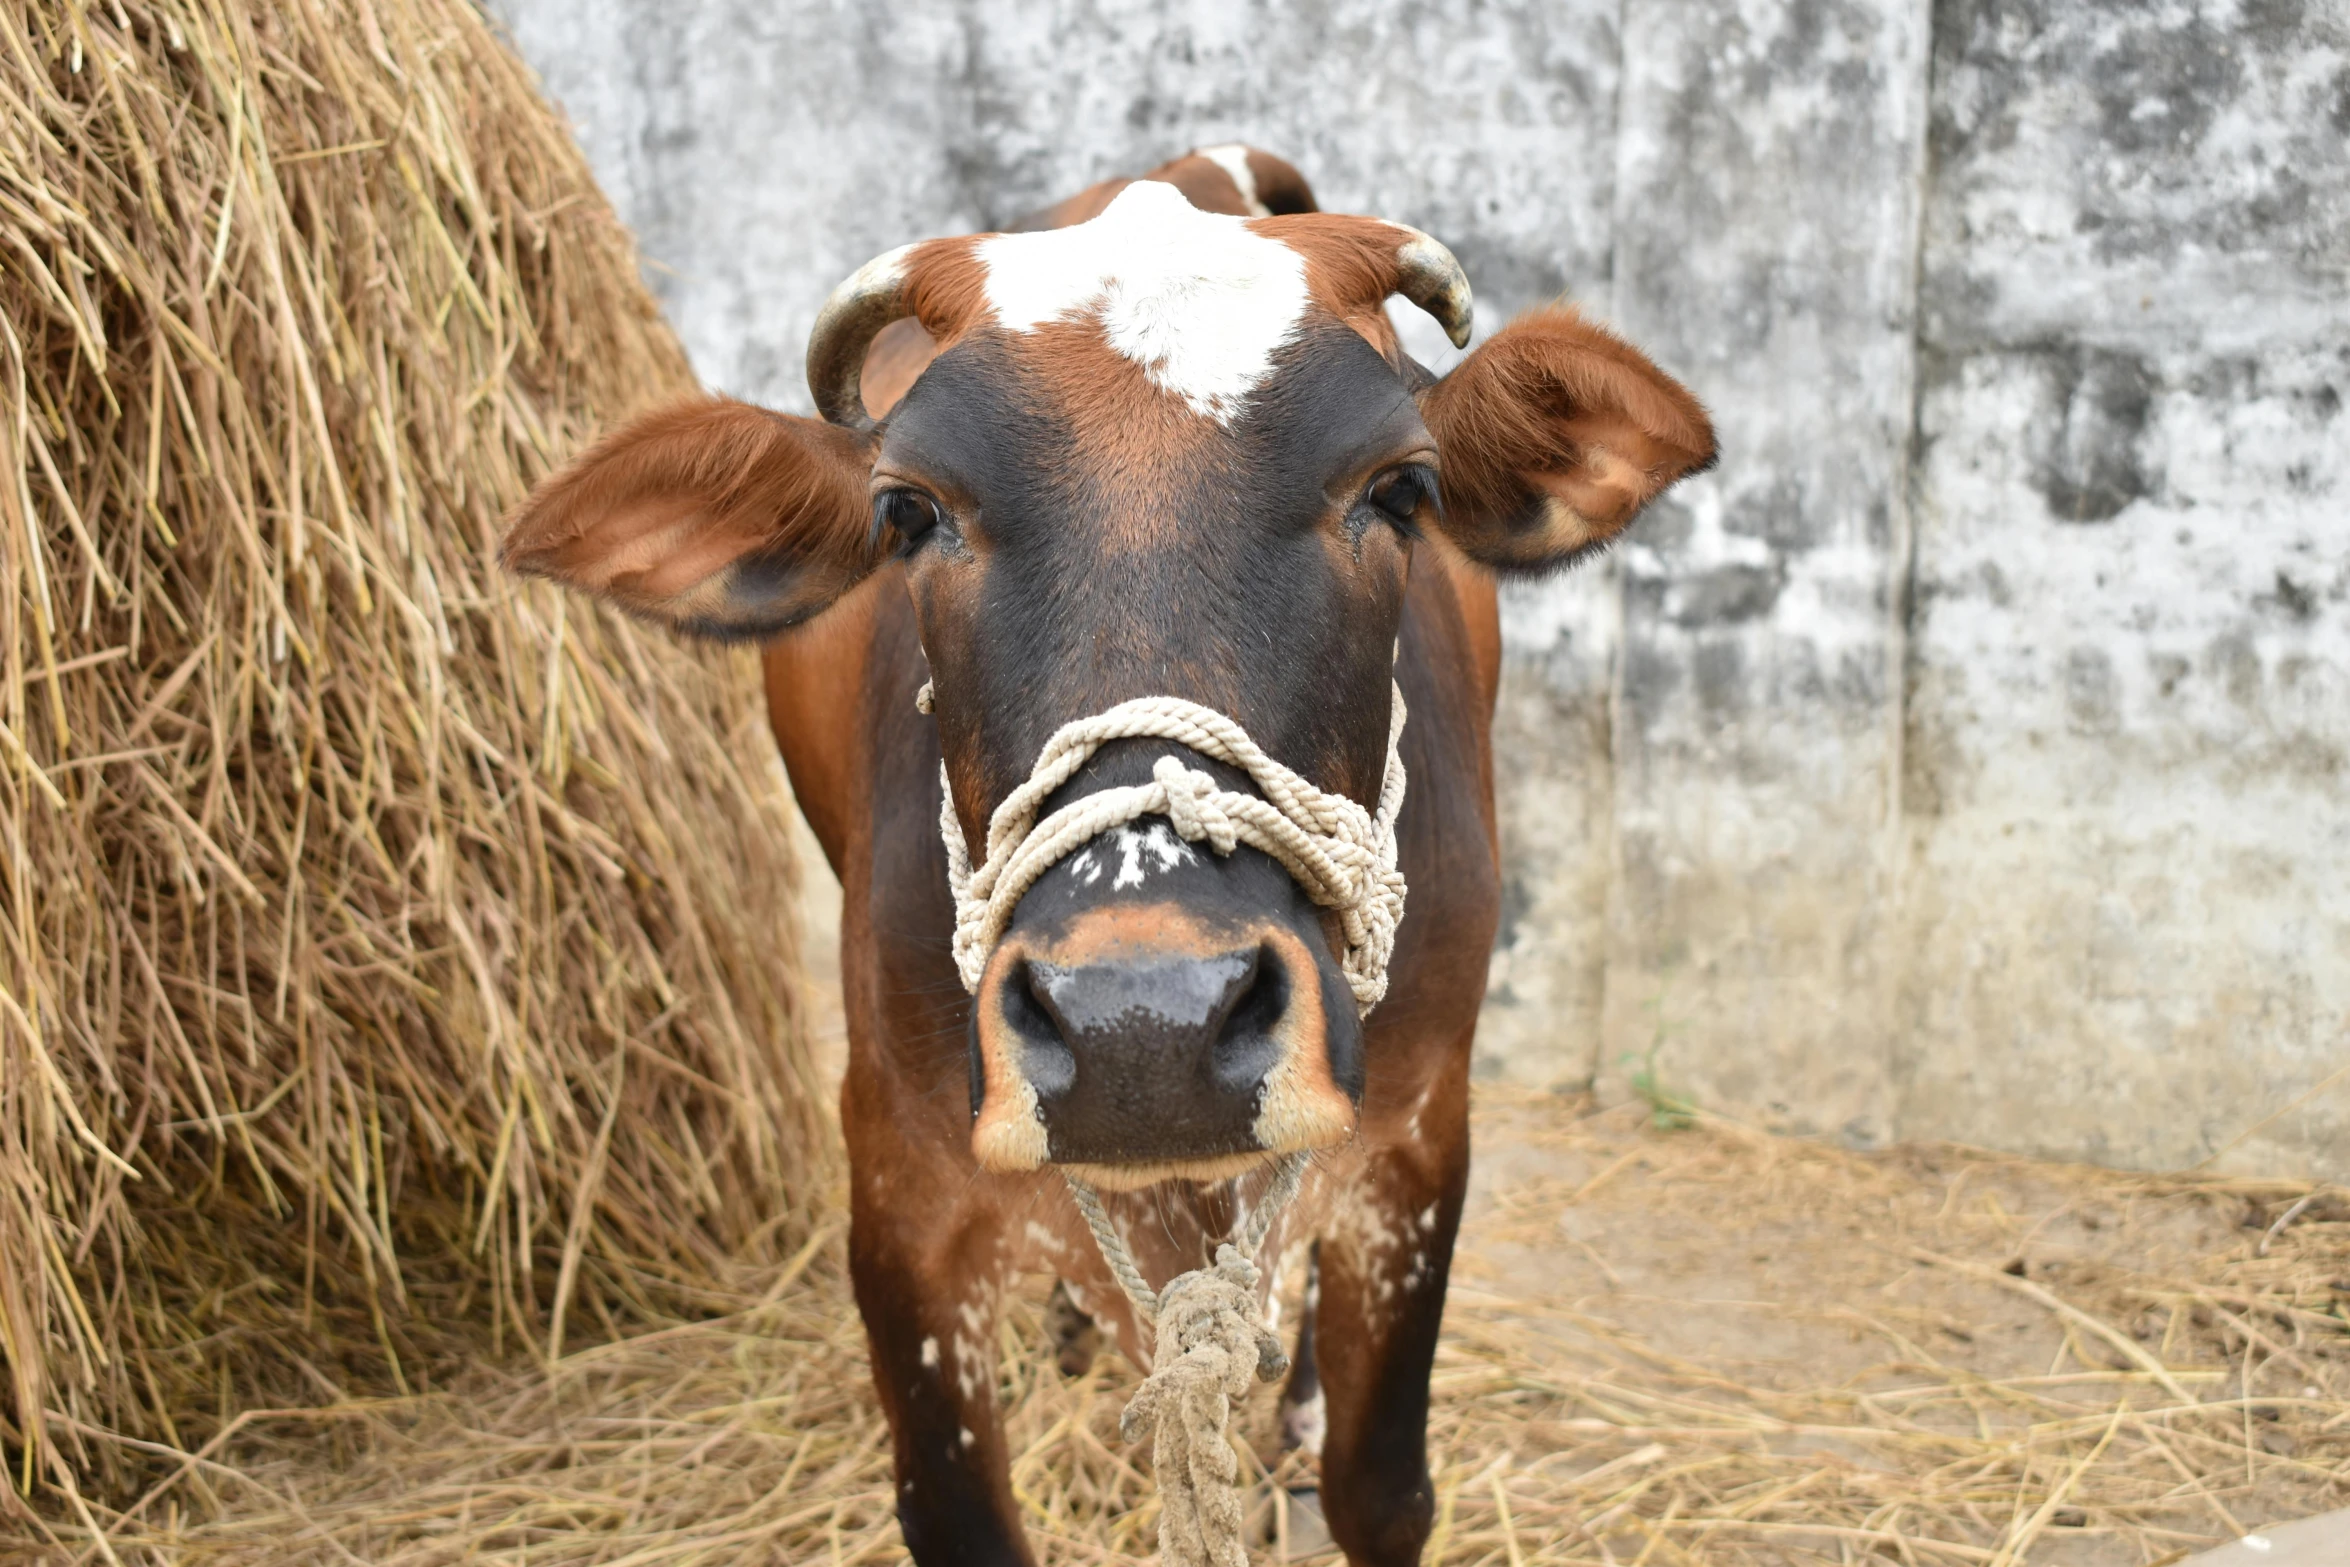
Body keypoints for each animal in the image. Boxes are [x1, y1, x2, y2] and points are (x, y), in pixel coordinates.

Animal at [505, 150, 1710, 1567]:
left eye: (1398, 490)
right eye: (908, 511)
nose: (1146, 1025)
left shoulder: (1415, 1149)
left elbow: (1382, 1488)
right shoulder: (902, 1202)